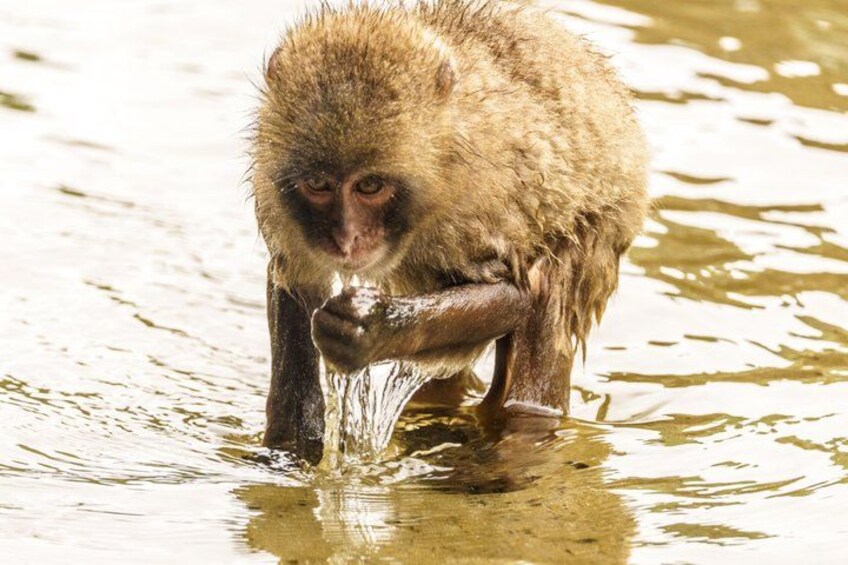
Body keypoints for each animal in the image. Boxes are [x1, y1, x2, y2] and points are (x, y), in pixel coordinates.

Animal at [251, 0, 650, 464]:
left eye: (369, 186)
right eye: (319, 185)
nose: (346, 240)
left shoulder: (481, 204)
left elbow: (515, 293)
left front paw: (374, 327)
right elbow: (295, 283)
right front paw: (295, 440)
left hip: (602, 228)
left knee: (546, 300)